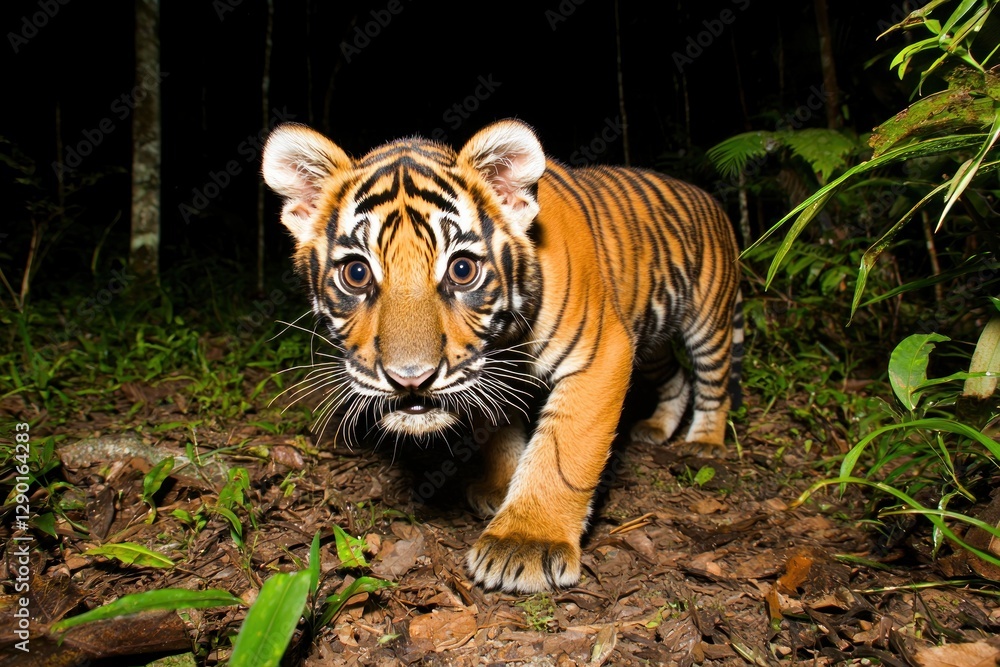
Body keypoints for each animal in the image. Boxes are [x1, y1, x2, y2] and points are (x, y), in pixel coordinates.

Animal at [261, 119, 743, 594]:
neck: (505, 340)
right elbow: (495, 433)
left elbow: (563, 451)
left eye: (462, 270)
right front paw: (499, 489)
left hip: (709, 319)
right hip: (655, 340)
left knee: (713, 380)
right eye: (357, 273)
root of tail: (707, 196)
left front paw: (527, 540)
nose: (411, 378)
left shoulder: (601, 353)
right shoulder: (490, 373)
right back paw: (657, 428)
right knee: (677, 376)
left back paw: (704, 442)